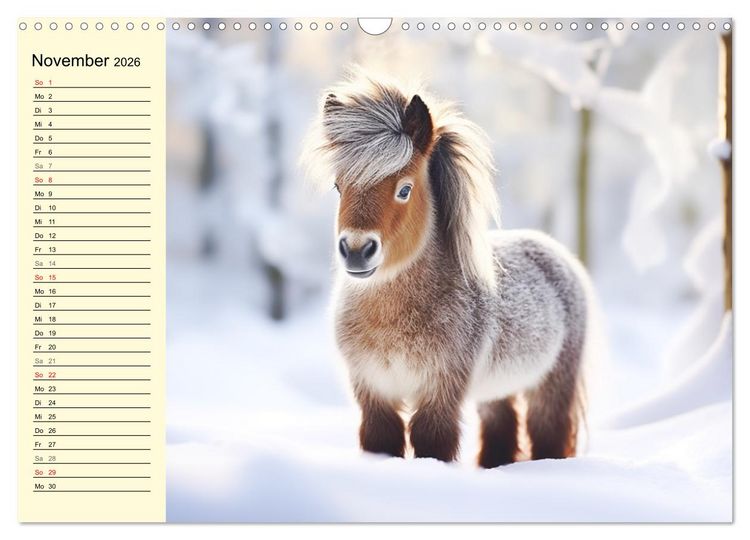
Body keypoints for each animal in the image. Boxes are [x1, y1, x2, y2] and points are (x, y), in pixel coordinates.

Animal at [303, 73, 593, 467]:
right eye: (338, 186)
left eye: (404, 189)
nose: (357, 251)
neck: (392, 319)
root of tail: (555, 252)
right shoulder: (375, 394)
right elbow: (382, 442)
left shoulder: (439, 396)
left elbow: (432, 445)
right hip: (495, 391)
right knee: (501, 430)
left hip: (551, 387)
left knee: (548, 434)